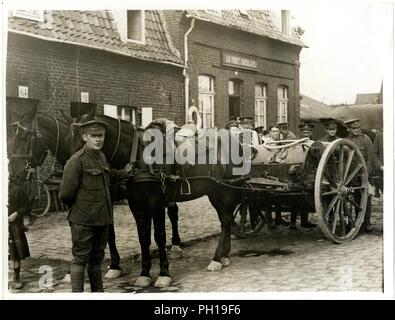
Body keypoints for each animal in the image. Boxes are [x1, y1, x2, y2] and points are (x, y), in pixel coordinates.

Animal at [68, 113, 246, 288]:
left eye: (85, 139)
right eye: (71, 138)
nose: (69, 169)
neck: (140, 155)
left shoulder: (157, 203)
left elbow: (159, 237)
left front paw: (164, 274)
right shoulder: (136, 205)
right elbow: (143, 237)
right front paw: (144, 274)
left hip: (224, 191)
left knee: (225, 220)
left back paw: (217, 258)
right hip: (216, 191)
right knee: (226, 220)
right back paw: (224, 256)